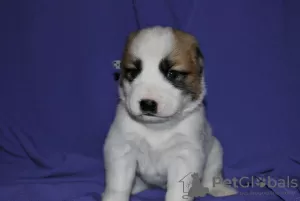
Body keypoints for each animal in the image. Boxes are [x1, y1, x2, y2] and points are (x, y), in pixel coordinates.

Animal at [102, 26, 238, 201]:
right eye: (133, 73)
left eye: (172, 74)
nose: (147, 103)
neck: (157, 128)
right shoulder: (122, 149)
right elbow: (118, 186)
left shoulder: (185, 155)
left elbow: (178, 190)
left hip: (215, 150)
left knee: (211, 174)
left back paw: (219, 189)